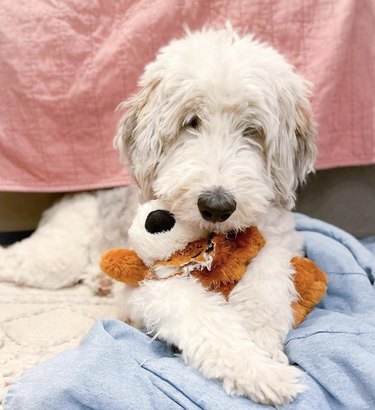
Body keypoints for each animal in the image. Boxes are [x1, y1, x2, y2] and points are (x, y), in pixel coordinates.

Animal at [0, 27, 318, 406]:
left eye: (252, 129)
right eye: (191, 122)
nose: (216, 206)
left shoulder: (280, 241)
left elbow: (267, 281)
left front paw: (263, 346)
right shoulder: (151, 287)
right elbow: (199, 314)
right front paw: (257, 371)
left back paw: (100, 280)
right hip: (55, 258)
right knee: (13, 258)